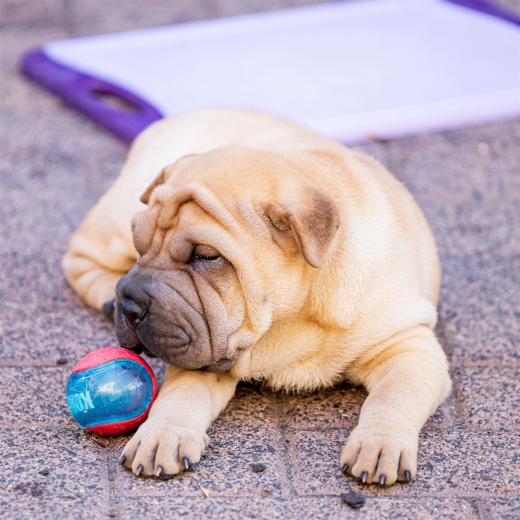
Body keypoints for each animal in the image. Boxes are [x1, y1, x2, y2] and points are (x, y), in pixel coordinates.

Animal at [63, 108, 451, 485]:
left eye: (206, 256)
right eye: (139, 244)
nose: (130, 303)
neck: (287, 324)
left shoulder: (407, 346)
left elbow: (393, 396)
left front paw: (379, 444)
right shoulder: (198, 344)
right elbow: (182, 393)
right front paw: (163, 435)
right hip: (114, 223)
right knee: (78, 258)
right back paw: (107, 297)